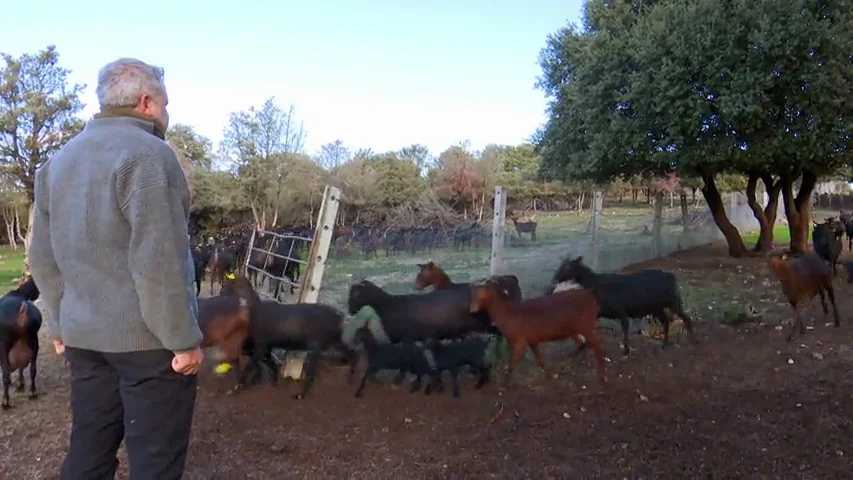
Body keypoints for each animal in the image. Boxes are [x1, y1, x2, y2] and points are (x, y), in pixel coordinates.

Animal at [466, 282, 604, 386]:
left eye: (481, 294)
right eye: (472, 294)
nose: (471, 308)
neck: (507, 315)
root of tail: (591, 296)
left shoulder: (520, 340)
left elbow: (513, 363)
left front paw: (506, 383)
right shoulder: (532, 339)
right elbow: (540, 359)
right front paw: (550, 375)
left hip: (587, 326)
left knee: (597, 346)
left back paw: (602, 376)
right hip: (575, 328)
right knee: (582, 342)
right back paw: (572, 360)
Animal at [544, 255, 696, 356]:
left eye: (567, 266)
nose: (554, 280)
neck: (596, 285)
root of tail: (672, 277)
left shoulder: (621, 311)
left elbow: (625, 330)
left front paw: (626, 351)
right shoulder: (601, 312)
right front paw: (581, 347)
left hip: (673, 302)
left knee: (686, 318)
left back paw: (693, 340)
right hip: (656, 308)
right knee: (666, 321)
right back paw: (664, 344)